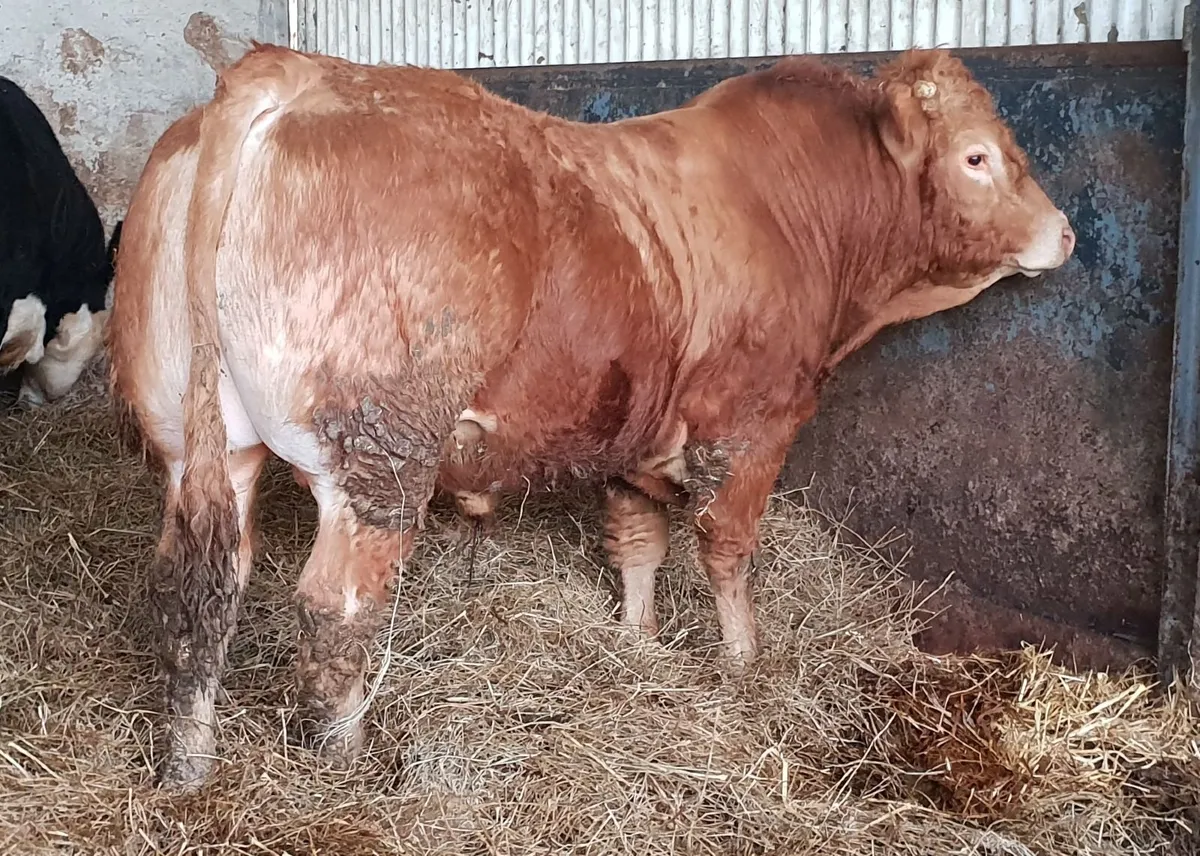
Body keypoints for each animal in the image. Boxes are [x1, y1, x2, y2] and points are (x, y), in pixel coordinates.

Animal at [107, 43, 1075, 789]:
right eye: (979, 157)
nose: (1066, 232)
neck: (797, 212)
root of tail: (289, 72)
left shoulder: (633, 434)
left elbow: (638, 539)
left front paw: (638, 641)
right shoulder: (752, 421)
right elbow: (725, 546)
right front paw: (742, 662)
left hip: (200, 446)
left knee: (199, 593)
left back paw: (189, 766)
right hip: (379, 456)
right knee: (337, 605)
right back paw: (345, 761)